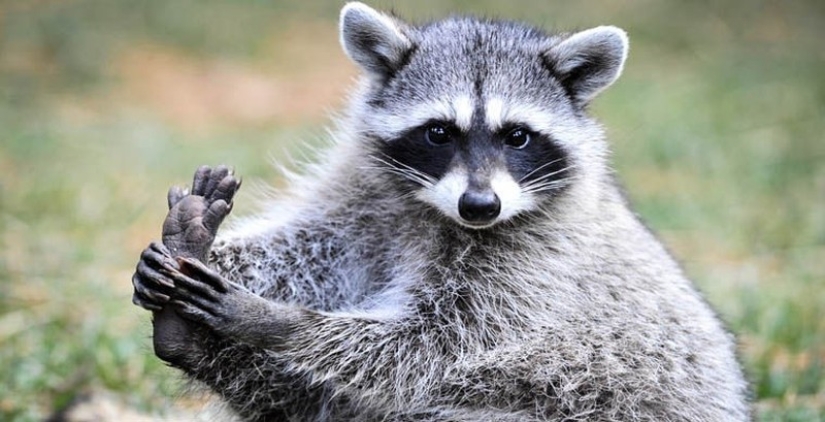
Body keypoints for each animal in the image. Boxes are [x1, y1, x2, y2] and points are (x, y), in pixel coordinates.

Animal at [132, 2, 751, 421]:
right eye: (439, 132)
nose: (480, 205)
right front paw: (214, 254)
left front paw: (281, 322)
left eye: (518, 136)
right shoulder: (369, 198)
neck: (436, 211)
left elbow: (434, 348)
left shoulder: (538, 264)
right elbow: (317, 247)